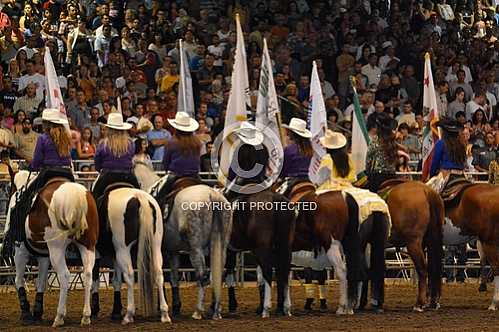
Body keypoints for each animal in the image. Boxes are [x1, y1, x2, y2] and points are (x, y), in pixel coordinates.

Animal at [7, 171, 99, 326]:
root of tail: (77, 197)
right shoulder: (43, 256)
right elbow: (41, 282)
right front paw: (37, 313)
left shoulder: (20, 252)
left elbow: (19, 280)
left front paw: (26, 313)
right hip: (88, 246)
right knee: (87, 274)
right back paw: (86, 316)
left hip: (57, 249)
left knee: (65, 275)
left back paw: (59, 317)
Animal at [134, 163, 233, 320]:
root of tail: (212, 195)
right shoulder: (173, 251)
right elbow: (174, 277)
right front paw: (176, 306)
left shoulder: (163, 250)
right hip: (221, 246)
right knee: (217, 274)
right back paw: (216, 310)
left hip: (196, 248)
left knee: (202, 276)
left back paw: (198, 311)